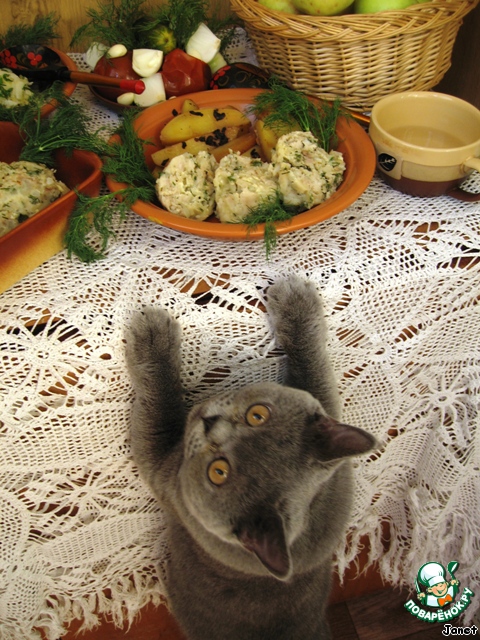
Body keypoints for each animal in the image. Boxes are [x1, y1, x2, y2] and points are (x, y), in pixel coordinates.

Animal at [125, 274, 377, 640]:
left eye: (218, 472)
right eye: (258, 414)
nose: (210, 424)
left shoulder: (164, 470)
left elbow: (159, 404)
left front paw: (152, 333)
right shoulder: (327, 414)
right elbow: (314, 364)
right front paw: (296, 302)